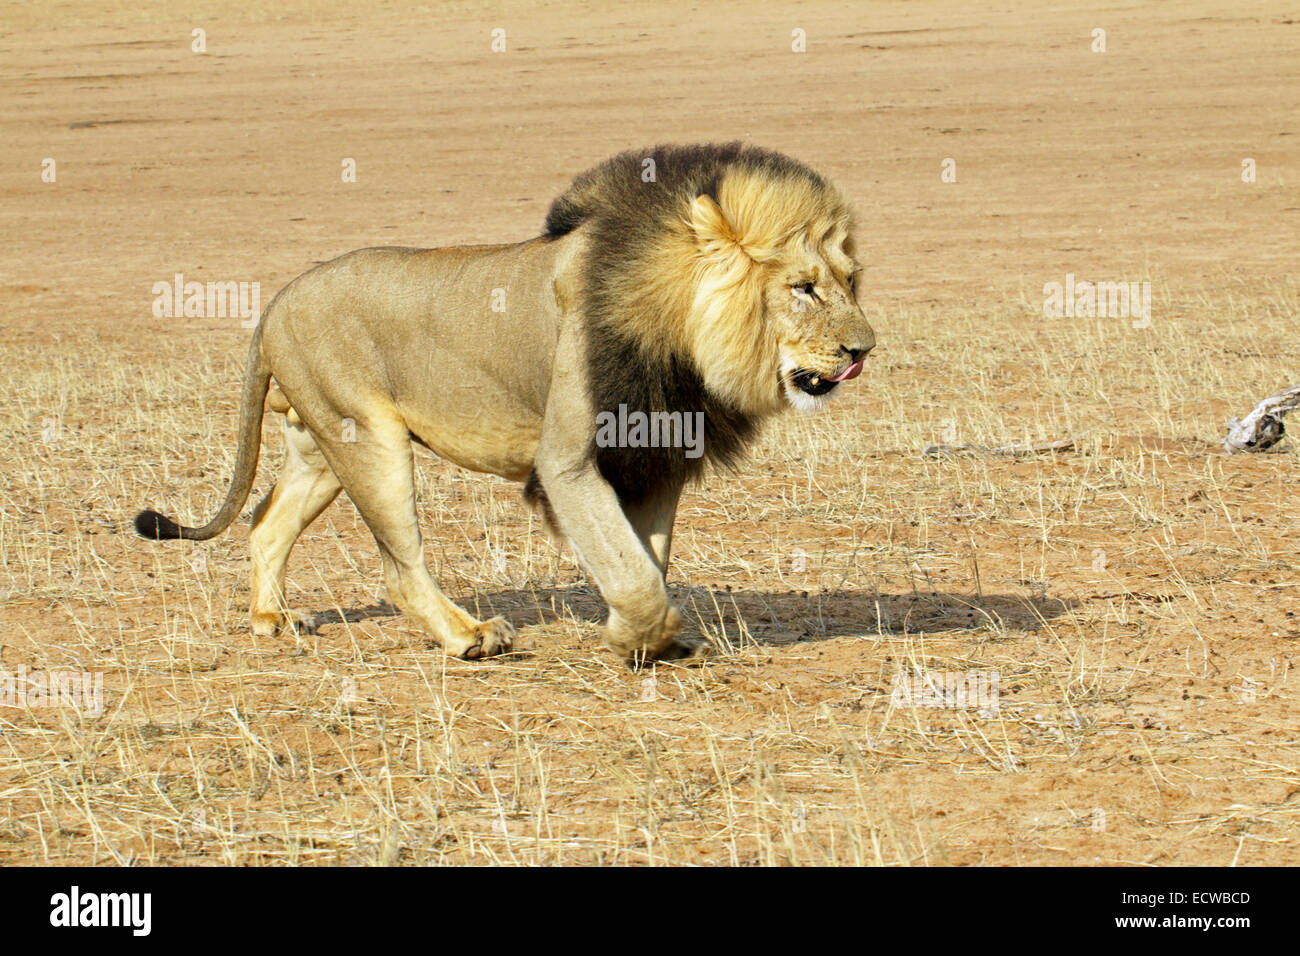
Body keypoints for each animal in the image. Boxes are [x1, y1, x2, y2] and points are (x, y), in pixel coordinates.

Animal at [133, 143, 875, 663]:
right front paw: (643, 638)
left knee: (266, 525)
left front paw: (648, 637)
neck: (680, 339)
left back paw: (272, 619)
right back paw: (469, 638)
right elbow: (631, 569)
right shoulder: (568, 461)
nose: (864, 349)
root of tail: (277, 300)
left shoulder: (655, 459)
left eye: (850, 280)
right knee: (399, 567)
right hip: (369, 441)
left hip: (320, 444)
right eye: (803, 287)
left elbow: (646, 559)